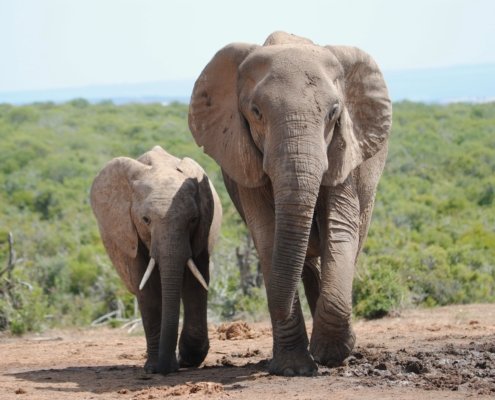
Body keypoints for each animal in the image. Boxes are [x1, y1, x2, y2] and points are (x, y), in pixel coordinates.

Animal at [90, 145, 223, 374]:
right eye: (146, 220)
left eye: (193, 219)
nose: (167, 367)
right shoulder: (129, 233)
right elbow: (148, 288)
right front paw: (154, 368)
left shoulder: (203, 229)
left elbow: (196, 282)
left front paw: (188, 359)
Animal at [189, 30, 392, 376]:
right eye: (256, 112)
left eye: (333, 112)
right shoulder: (244, 161)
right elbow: (268, 236)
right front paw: (294, 368)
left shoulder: (345, 152)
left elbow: (340, 229)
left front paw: (331, 355)